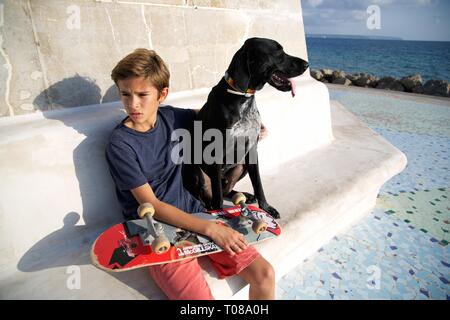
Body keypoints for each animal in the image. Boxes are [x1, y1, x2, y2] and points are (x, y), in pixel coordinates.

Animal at [181, 37, 308, 218]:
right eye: (278, 52)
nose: (307, 64)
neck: (242, 96)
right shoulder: (216, 153)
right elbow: (218, 197)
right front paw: (220, 213)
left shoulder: (252, 149)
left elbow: (258, 184)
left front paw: (266, 207)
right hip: (196, 170)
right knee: (209, 194)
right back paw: (209, 207)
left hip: (241, 165)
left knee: (226, 190)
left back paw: (245, 196)